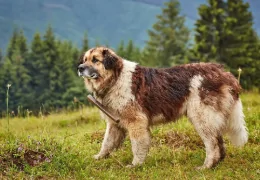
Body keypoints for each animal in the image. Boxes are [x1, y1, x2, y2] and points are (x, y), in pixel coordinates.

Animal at [77, 46, 248, 169]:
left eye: (95, 60)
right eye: (85, 59)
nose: (80, 68)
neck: (115, 78)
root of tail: (224, 73)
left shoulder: (136, 122)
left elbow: (137, 145)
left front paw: (135, 165)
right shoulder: (114, 123)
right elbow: (107, 143)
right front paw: (99, 158)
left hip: (201, 117)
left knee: (212, 145)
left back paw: (206, 167)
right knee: (219, 143)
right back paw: (215, 165)